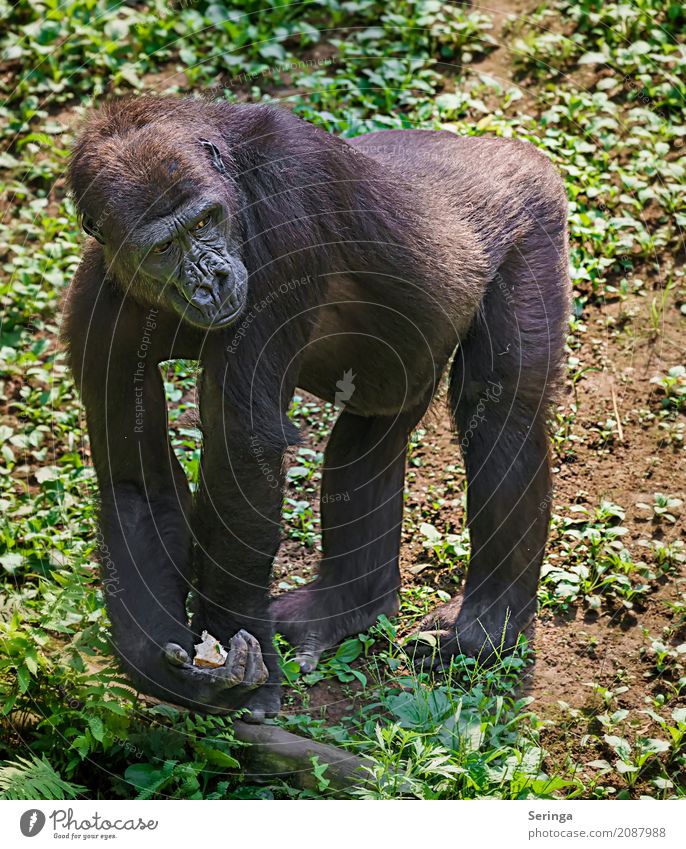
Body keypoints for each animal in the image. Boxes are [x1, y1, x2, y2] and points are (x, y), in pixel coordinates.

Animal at [63, 97, 568, 724]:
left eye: (204, 223)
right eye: (163, 249)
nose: (211, 280)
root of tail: (500, 146)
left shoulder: (287, 205)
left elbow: (242, 450)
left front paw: (234, 652)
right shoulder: (96, 307)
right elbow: (137, 480)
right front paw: (165, 667)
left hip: (533, 221)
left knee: (501, 408)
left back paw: (486, 625)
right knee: (371, 433)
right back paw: (348, 603)